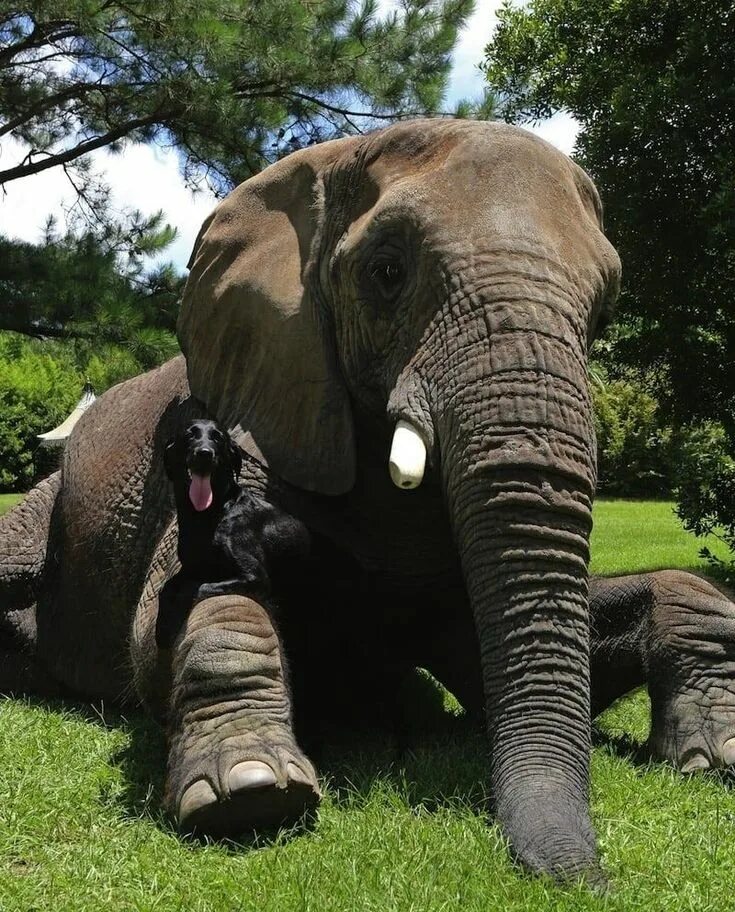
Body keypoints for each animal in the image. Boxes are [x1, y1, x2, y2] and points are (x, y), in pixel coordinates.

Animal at [157, 420, 312, 648]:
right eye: (189, 434)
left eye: (218, 437)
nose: (205, 453)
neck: (207, 515)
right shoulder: (191, 567)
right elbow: (166, 588)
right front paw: (162, 627)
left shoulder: (255, 577)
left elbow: (195, 588)